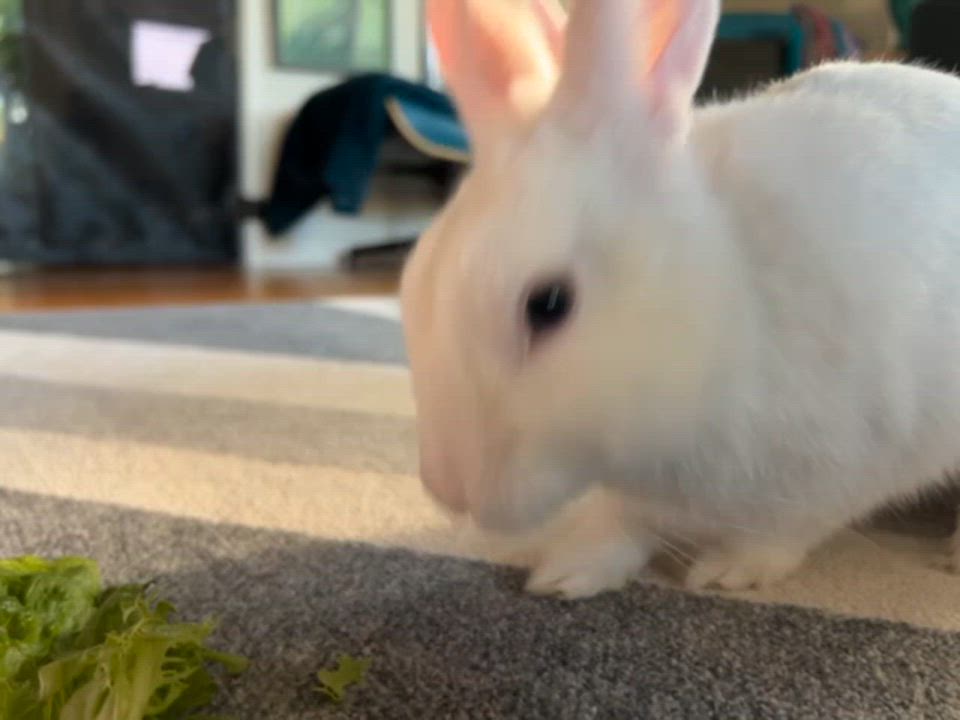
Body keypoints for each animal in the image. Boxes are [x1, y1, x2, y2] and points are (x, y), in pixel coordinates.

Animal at [400, 0, 960, 599]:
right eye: (411, 285)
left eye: (548, 305)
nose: (449, 490)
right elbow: (619, 528)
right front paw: (567, 573)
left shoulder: (849, 463)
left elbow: (785, 532)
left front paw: (727, 571)